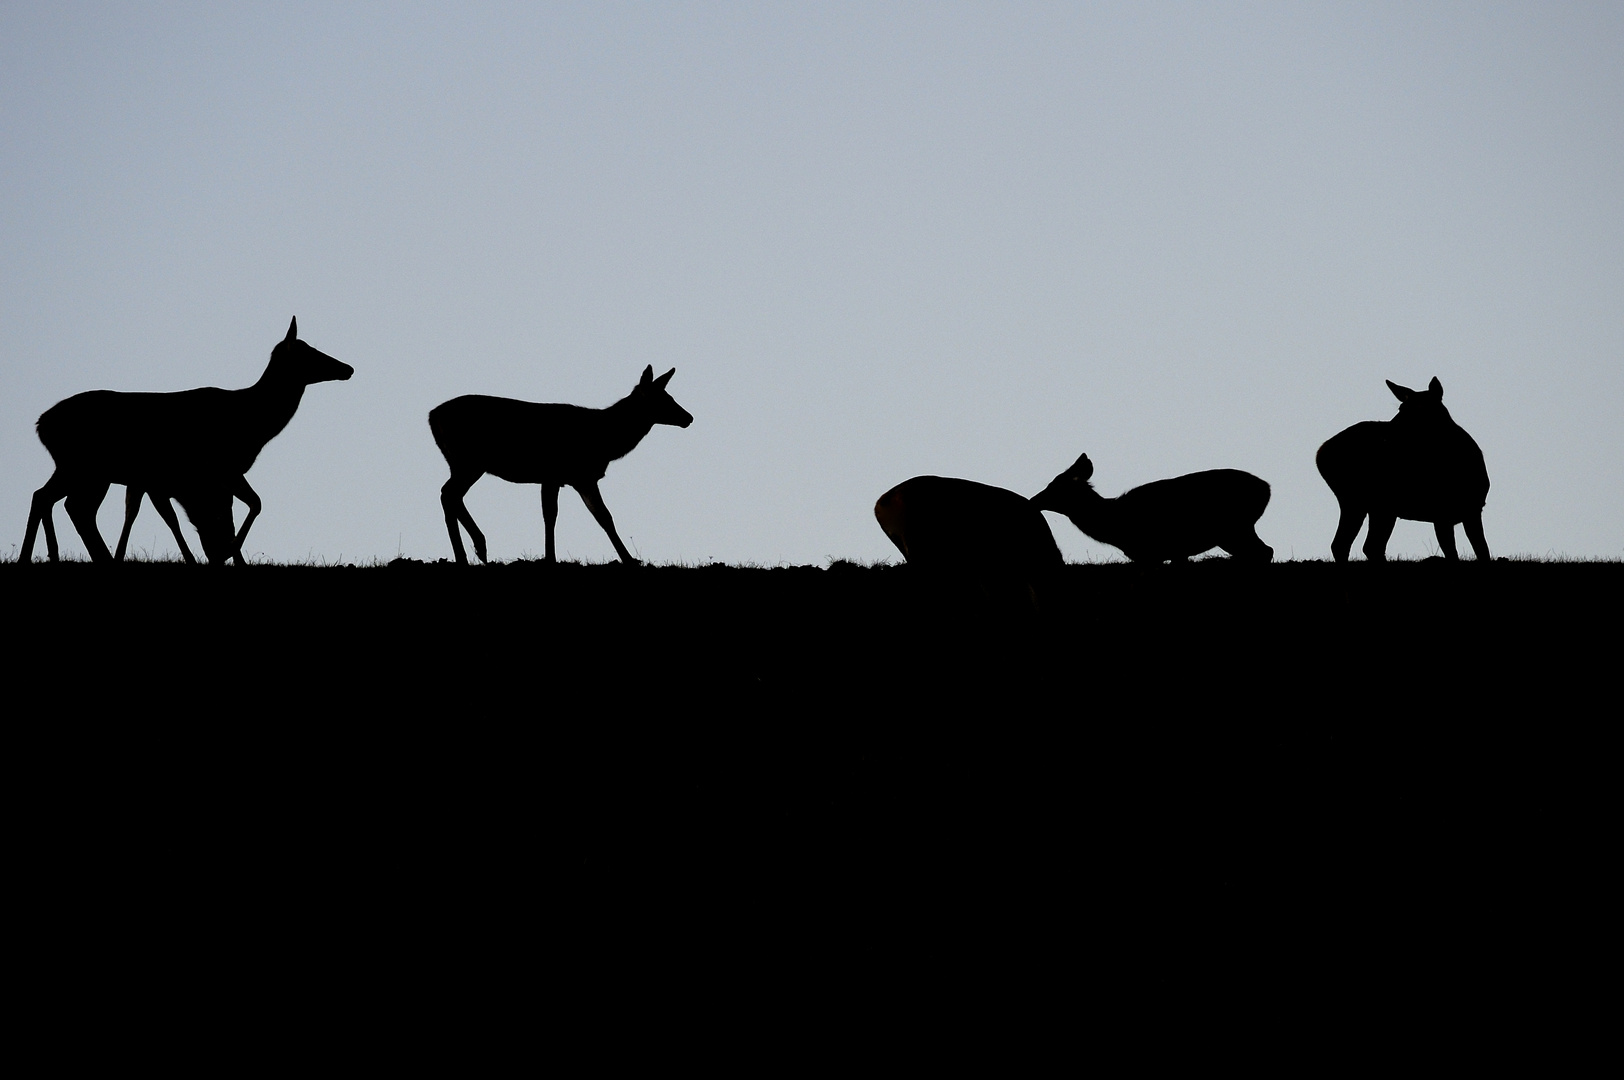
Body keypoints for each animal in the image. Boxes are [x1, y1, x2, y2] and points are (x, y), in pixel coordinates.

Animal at [22, 316, 354, 565]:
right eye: (308, 352)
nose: (348, 368)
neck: (252, 423)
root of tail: (41, 424)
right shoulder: (217, 468)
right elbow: (245, 508)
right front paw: (224, 554)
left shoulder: (214, 476)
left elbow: (240, 509)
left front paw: (227, 557)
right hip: (84, 466)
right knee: (66, 504)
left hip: (81, 469)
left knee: (53, 499)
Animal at [431, 367, 691, 565]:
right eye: (664, 399)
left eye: (670, 397)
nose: (689, 417)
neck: (605, 441)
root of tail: (432, 416)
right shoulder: (567, 474)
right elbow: (575, 516)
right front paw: (627, 560)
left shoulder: (571, 478)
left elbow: (594, 516)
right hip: (469, 460)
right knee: (448, 493)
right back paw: (469, 553)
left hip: (461, 462)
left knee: (450, 495)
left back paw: (476, 548)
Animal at [1032, 451, 1273, 565]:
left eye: (1055, 487)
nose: (1034, 500)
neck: (1112, 525)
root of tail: (1267, 489)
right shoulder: (1173, 551)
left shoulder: (1153, 552)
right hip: (1237, 530)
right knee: (1265, 551)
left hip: (1232, 529)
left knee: (1264, 552)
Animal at [1318, 376, 1487, 565]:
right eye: (1401, 407)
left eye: (1420, 408)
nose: (1386, 433)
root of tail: (1320, 455)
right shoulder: (1440, 513)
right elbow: (1453, 554)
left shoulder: (1473, 508)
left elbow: (1482, 551)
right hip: (1363, 499)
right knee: (1358, 544)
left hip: (1374, 505)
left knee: (1356, 545)